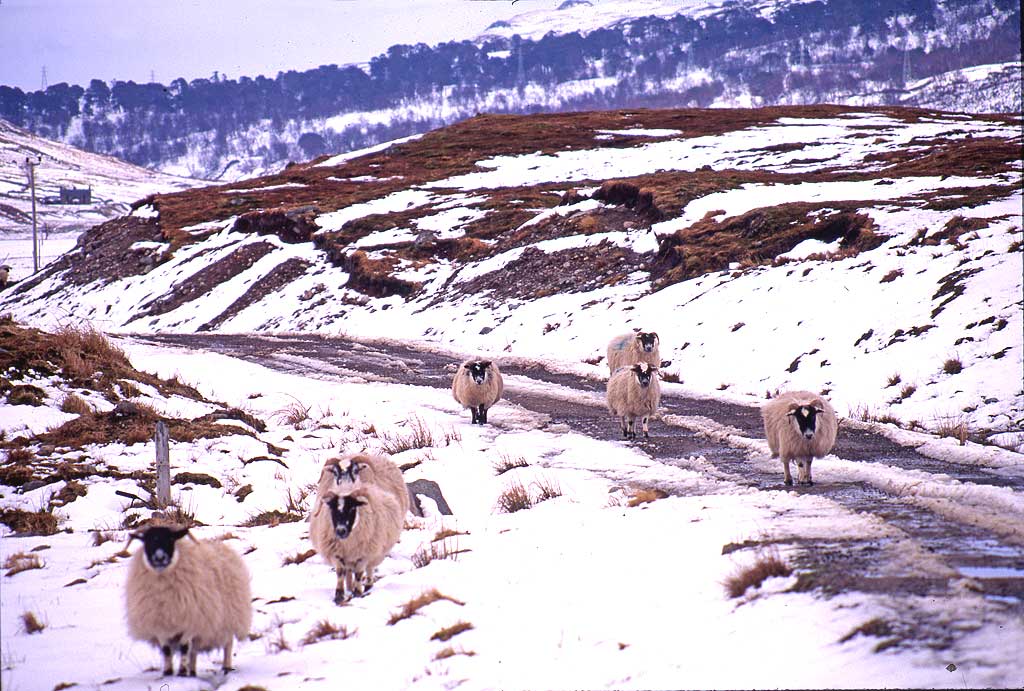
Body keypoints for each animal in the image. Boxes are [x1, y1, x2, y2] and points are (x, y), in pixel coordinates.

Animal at [309, 450, 409, 601]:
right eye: (335, 472)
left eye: (355, 470)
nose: (341, 530)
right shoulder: (336, 551)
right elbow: (340, 572)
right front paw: (339, 594)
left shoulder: (364, 552)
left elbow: (359, 573)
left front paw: (357, 592)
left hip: (376, 549)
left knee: (369, 568)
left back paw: (366, 586)